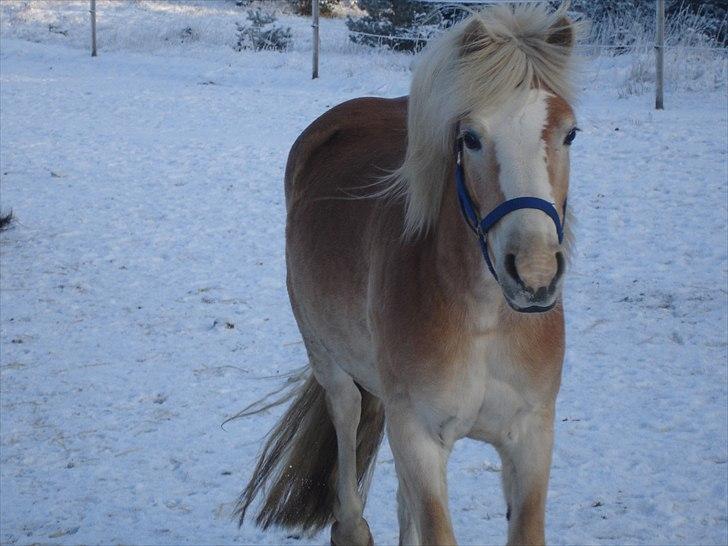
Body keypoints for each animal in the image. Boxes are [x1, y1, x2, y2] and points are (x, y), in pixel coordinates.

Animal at [239, 4, 580, 544]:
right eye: (471, 138)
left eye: (570, 133)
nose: (534, 273)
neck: (485, 321)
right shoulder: (417, 435)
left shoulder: (530, 438)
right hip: (330, 362)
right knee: (347, 420)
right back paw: (351, 524)